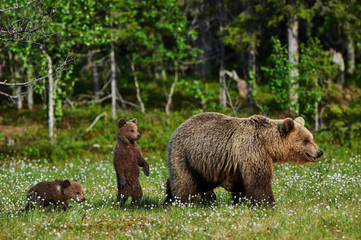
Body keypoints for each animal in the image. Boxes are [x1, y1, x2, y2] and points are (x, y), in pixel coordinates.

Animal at [163, 112, 320, 204]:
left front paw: (240, 201)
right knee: (184, 181)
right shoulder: (252, 150)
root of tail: (178, 128)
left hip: (204, 164)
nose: (320, 152)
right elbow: (259, 180)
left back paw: (169, 197)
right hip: (185, 155)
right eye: (306, 140)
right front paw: (269, 203)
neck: (267, 144)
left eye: (312, 138)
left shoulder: (237, 162)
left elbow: (242, 183)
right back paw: (183, 202)